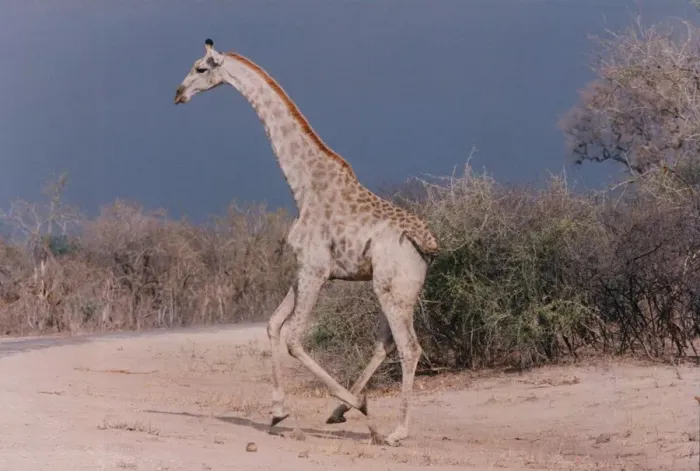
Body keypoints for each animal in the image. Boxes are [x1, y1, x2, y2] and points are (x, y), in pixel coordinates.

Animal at [174, 39, 440, 446]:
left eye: (201, 69)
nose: (179, 93)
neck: (303, 186)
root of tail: (425, 243)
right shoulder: (304, 270)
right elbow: (272, 324)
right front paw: (278, 412)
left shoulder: (315, 269)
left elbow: (294, 338)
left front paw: (363, 409)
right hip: (395, 289)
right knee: (387, 342)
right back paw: (338, 412)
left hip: (392, 288)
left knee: (409, 347)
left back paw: (394, 431)